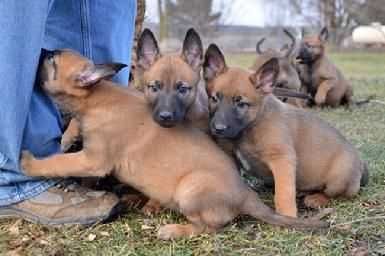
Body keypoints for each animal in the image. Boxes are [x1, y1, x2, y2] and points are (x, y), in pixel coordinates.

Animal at [20, 50, 328, 240]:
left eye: (52, 60)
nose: (42, 50)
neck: (97, 98)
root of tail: (246, 195)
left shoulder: (92, 160)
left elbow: (57, 162)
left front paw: (29, 163)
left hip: (189, 189)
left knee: (209, 227)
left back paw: (174, 230)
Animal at [202, 44, 368, 218]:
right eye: (214, 98)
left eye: (241, 104)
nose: (218, 129)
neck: (252, 126)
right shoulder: (230, 155)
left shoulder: (282, 160)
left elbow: (284, 193)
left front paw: (288, 216)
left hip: (339, 178)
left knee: (335, 194)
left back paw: (316, 199)